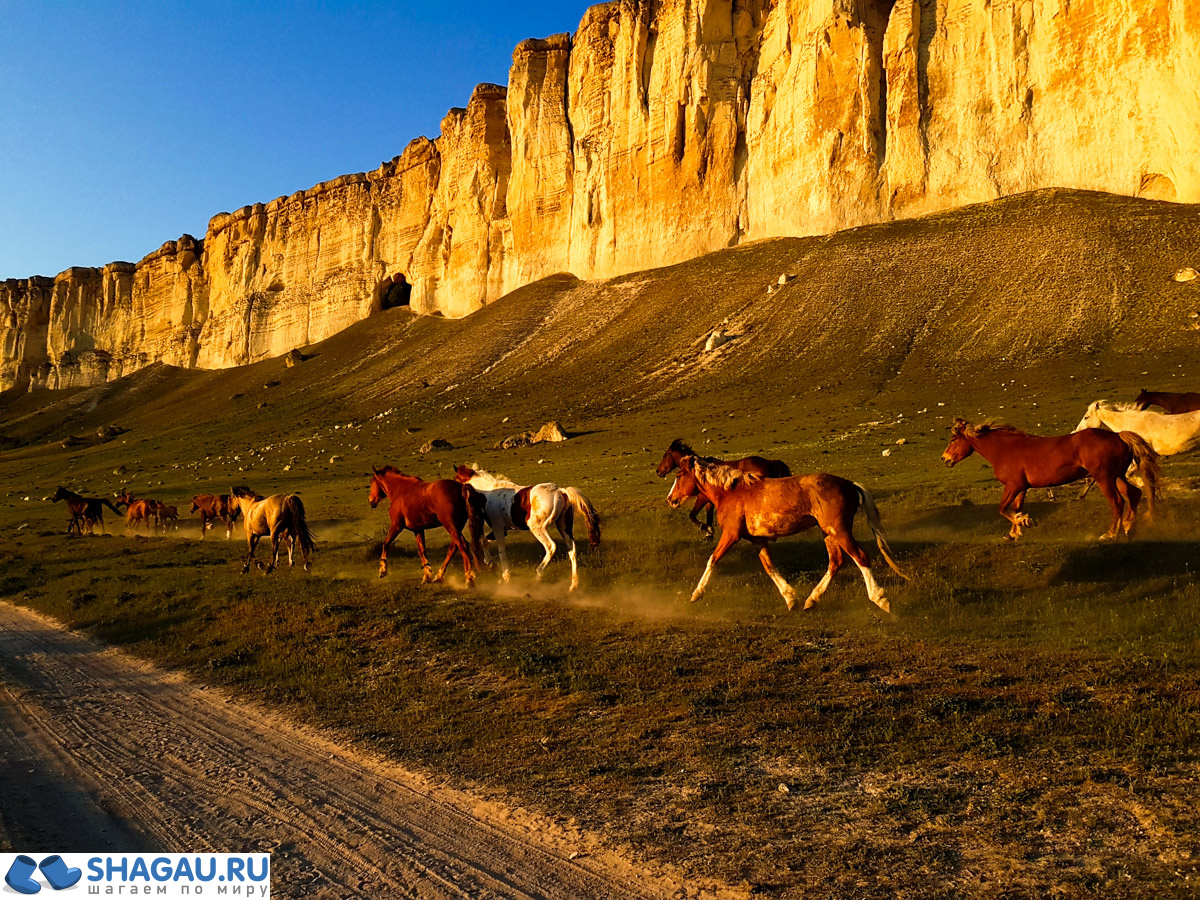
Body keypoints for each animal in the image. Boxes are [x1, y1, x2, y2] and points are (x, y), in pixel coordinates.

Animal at [451, 465, 600, 592]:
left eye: (455, 480)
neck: (488, 495)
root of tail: (561, 491)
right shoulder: (502, 530)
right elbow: (485, 541)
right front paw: (489, 562)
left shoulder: (498, 528)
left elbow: (501, 551)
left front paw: (505, 576)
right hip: (564, 527)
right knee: (572, 550)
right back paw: (573, 585)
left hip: (537, 527)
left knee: (551, 546)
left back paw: (538, 576)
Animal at [657, 441, 787, 540]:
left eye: (665, 455)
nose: (658, 471)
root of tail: (770, 463)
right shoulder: (709, 500)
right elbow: (708, 515)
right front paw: (709, 534)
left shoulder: (702, 497)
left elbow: (692, 516)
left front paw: (706, 528)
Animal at [672, 458, 902, 614]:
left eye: (678, 476)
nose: (670, 499)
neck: (730, 492)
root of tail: (850, 485)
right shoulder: (757, 540)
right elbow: (770, 567)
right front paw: (790, 598)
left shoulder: (731, 535)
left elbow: (712, 560)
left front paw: (696, 594)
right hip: (828, 532)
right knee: (836, 562)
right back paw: (811, 600)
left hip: (839, 530)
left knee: (860, 557)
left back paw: (880, 599)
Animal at [940, 417, 1156, 542]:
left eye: (953, 440)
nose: (944, 459)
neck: (1004, 449)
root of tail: (1118, 436)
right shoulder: (1022, 487)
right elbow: (1015, 508)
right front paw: (1014, 532)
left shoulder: (1013, 485)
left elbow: (1002, 509)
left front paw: (1025, 522)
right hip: (1117, 476)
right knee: (1134, 494)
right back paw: (1129, 528)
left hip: (1104, 478)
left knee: (1117, 502)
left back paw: (1110, 534)